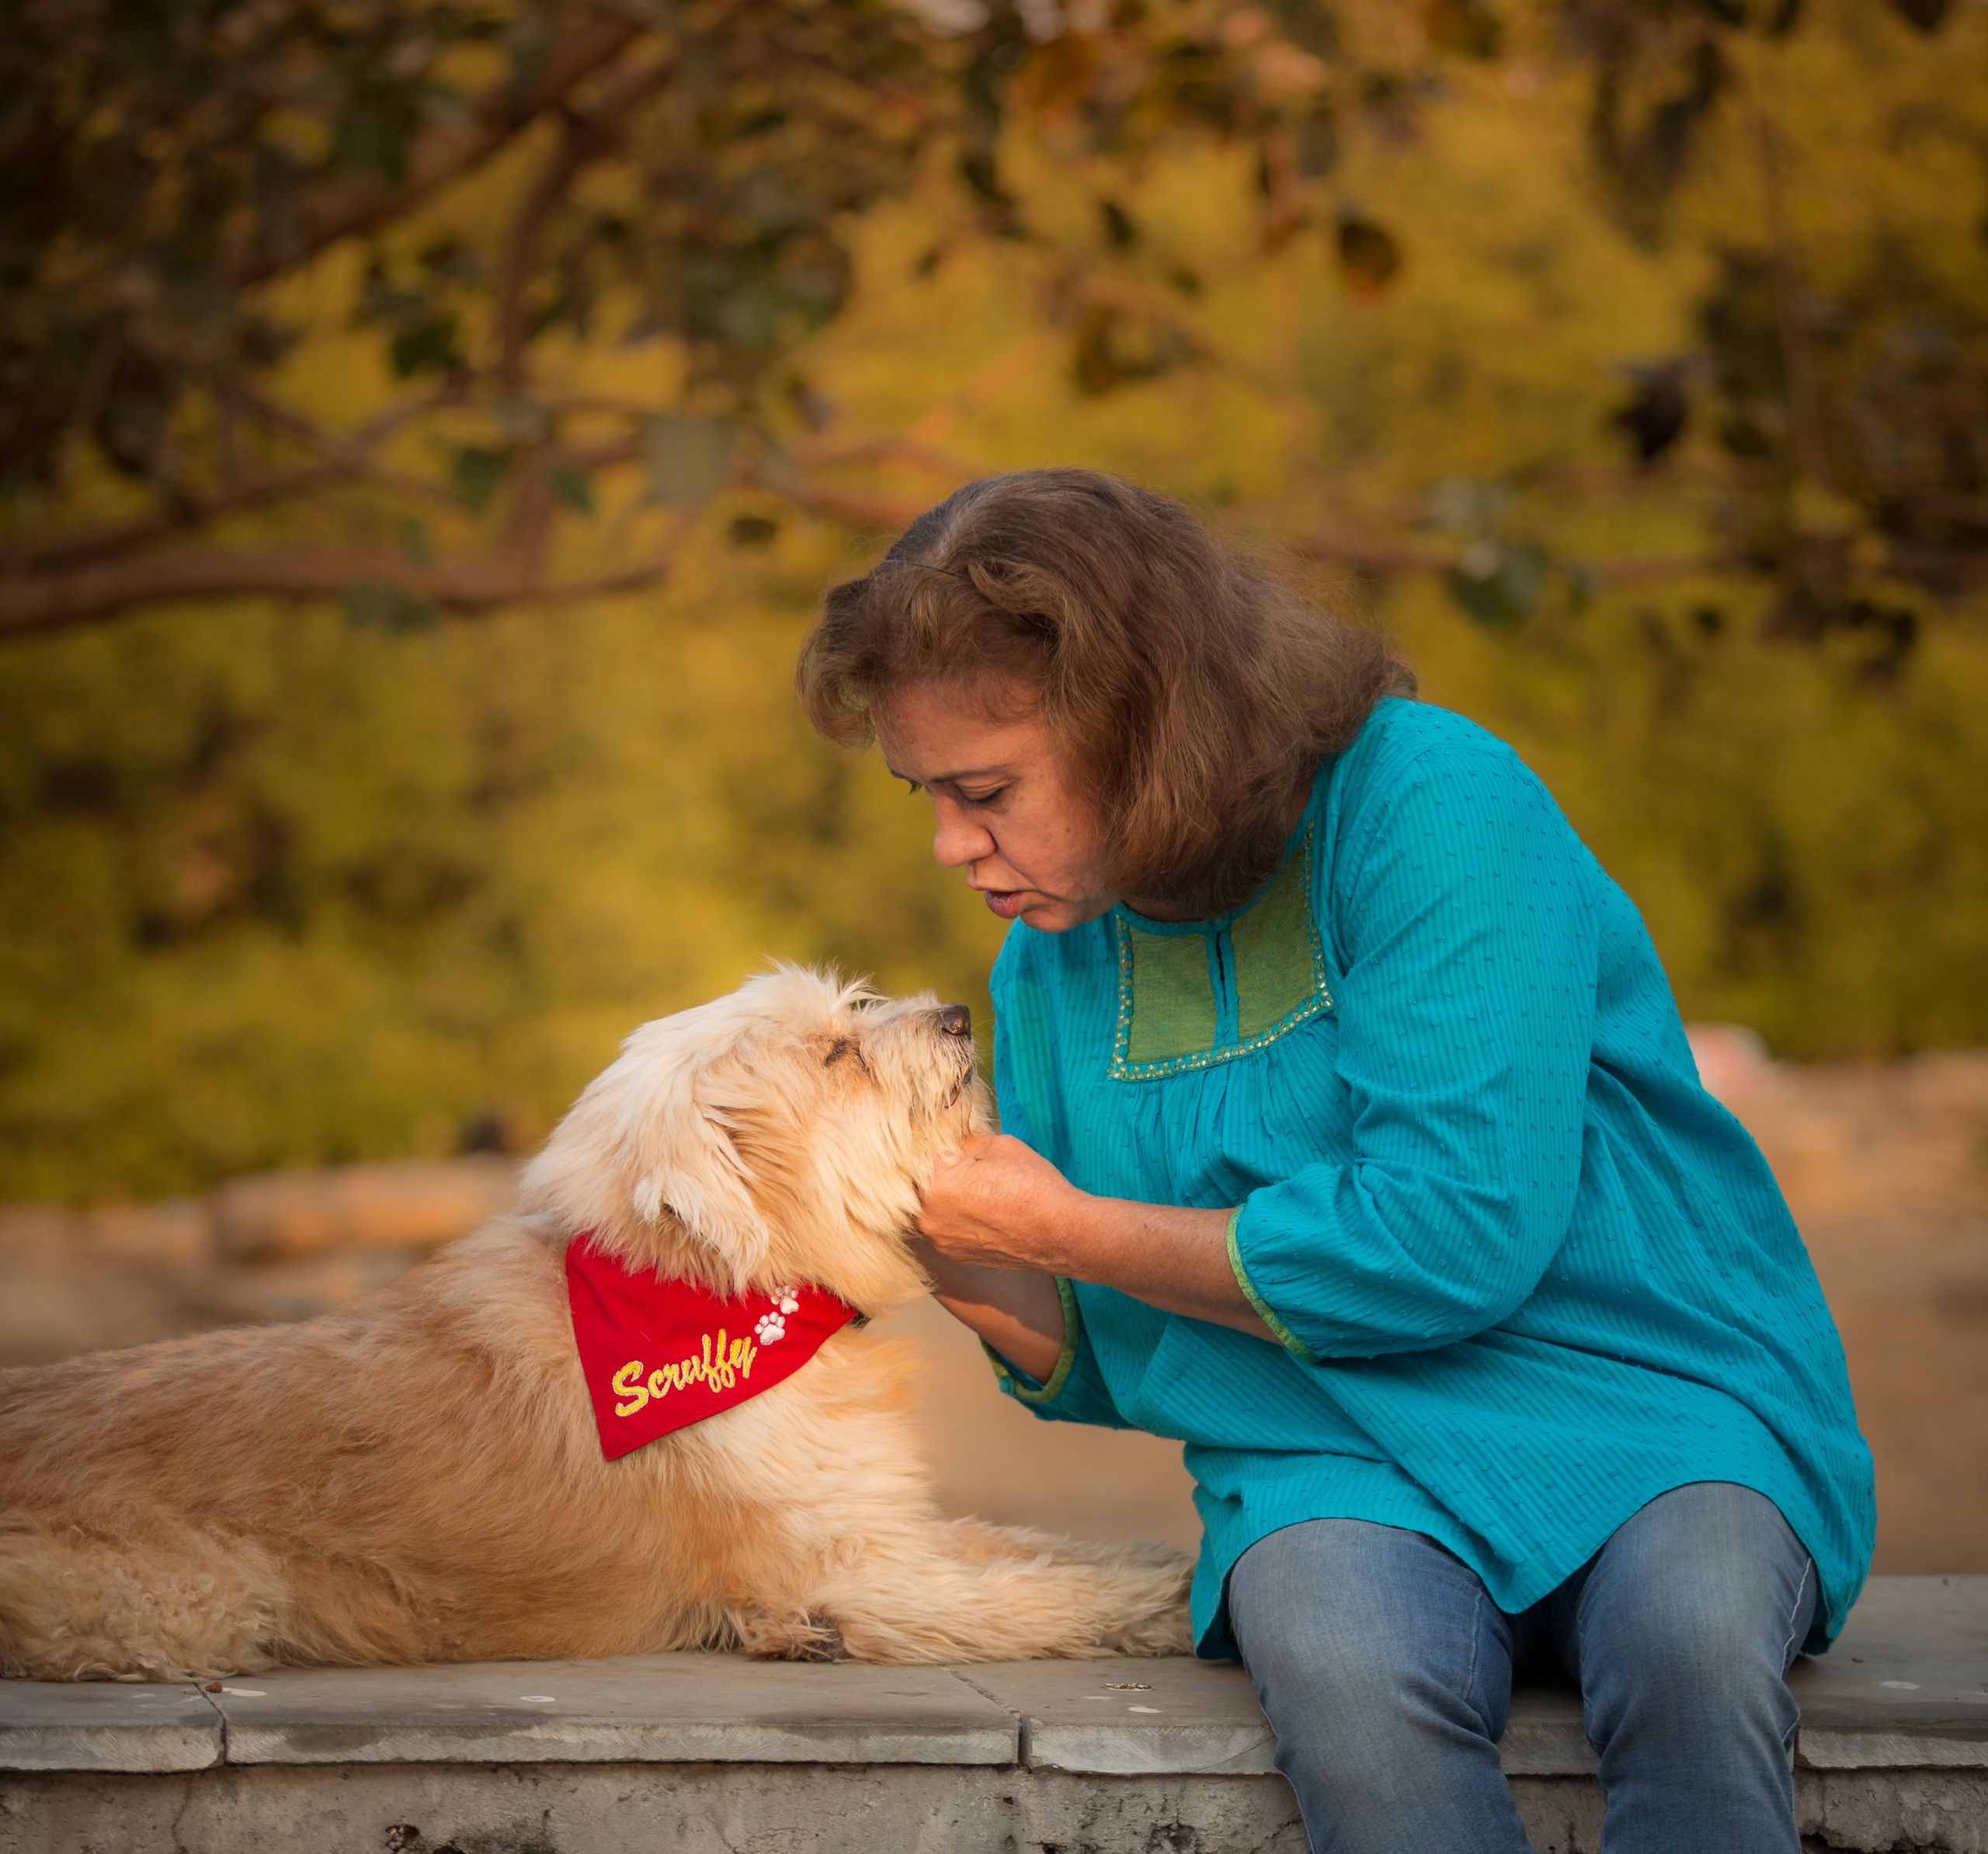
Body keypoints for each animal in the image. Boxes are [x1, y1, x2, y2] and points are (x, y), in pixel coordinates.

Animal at [0, 970, 1184, 1677]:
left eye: (855, 1011)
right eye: (836, 1056)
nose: (957, 1016)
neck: (725, 1299)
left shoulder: (882, 1524)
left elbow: (1031, 1545)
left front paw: (1157, 1556)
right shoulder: (848, 1569)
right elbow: (1038, 1595)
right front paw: (1175, 1601)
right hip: (193, 1602)